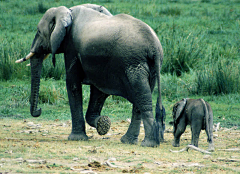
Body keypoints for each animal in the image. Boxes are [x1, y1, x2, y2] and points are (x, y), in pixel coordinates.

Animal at [15, 4, 165, 147]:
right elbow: (98, 91)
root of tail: (155, 47)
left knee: (142, 99)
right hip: (148, 67)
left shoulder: (72, 48)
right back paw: (128, 141)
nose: (39, 110)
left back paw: (148, 144)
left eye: (39, 32)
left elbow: (73, 84)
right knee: (140, 99)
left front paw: (77, 138)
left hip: (134, 64)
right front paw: (103, 123)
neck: (67, 11)